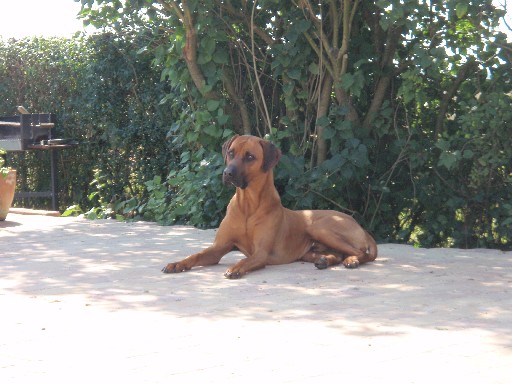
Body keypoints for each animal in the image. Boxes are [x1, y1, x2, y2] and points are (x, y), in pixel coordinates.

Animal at [162, 135, 378, 280]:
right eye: (231, 153)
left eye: (250, 157)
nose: (227, 173)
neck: (248, 205)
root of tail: (360, 227)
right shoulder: (219, 247)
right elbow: (196, 254)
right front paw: (177, 263)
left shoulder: (261, 252)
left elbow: (246, 260)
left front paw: (236, 268)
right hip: (310, 249)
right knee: (337, 254)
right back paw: (326, 261)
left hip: (320, 226)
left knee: (363, 253)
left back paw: (352, 260)